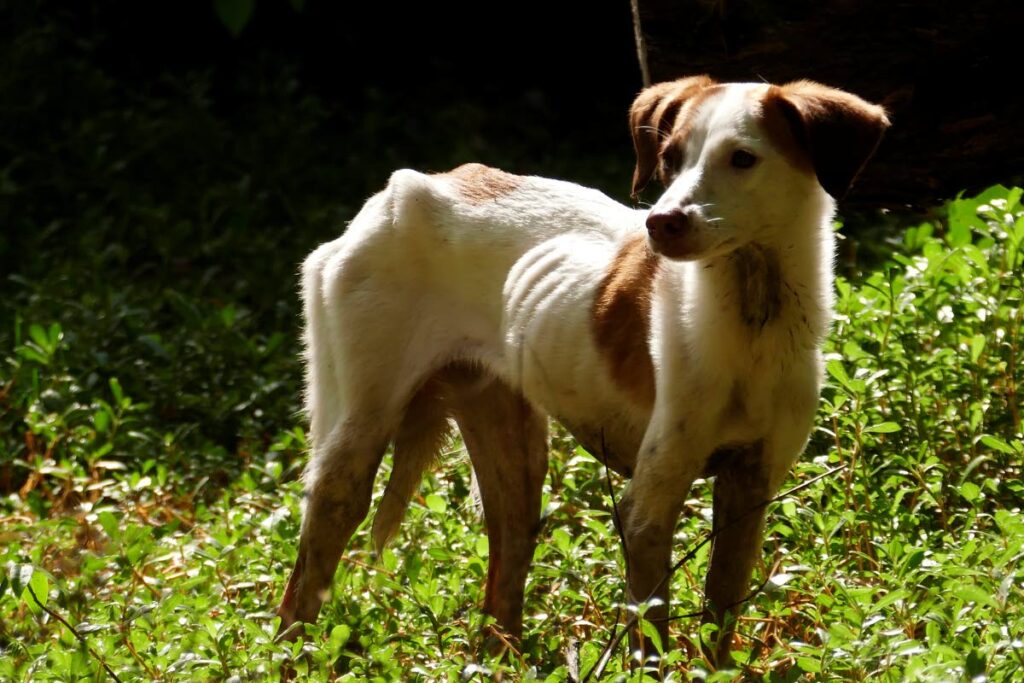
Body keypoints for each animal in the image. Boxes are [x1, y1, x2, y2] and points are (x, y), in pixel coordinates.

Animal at [278, 76, 888, 667]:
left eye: (742, 158)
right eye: (670, 157)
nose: (660, 223)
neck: (752, 321)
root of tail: (401, 190)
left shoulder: (750, 490)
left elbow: (718, 629)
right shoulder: (648, 507)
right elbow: (650, 642)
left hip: (516, 459)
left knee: (501, 599)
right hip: (355, 444)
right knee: (303, 583)